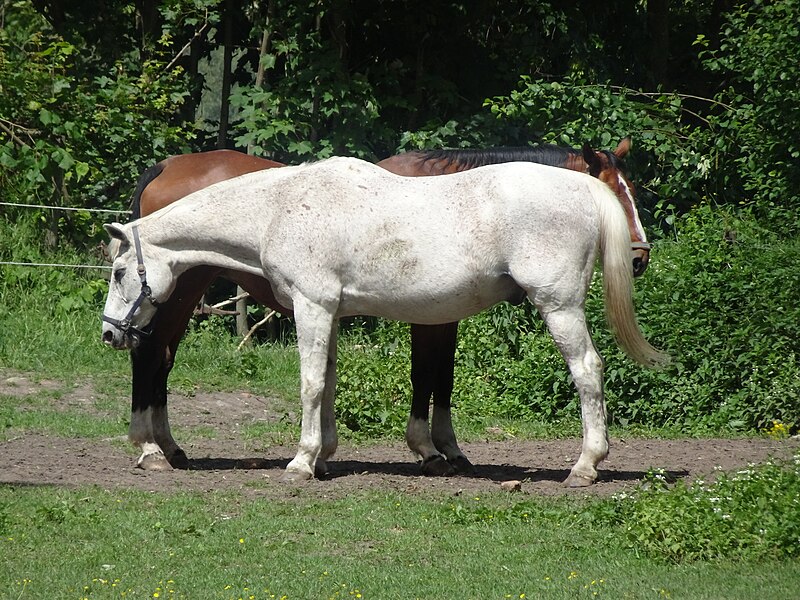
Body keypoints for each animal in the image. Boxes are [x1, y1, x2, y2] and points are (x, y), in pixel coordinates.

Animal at [104, 156, 668, 488]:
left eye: (117, 271)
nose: (109, 331)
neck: (280, 207)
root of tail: (580, 189)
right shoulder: (329, 311)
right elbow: (331, 383)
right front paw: (325, 456)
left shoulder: (313, 306)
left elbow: (311, 384)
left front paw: (301, 461)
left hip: (559, 306)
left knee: (588, 371)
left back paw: (585, 466)